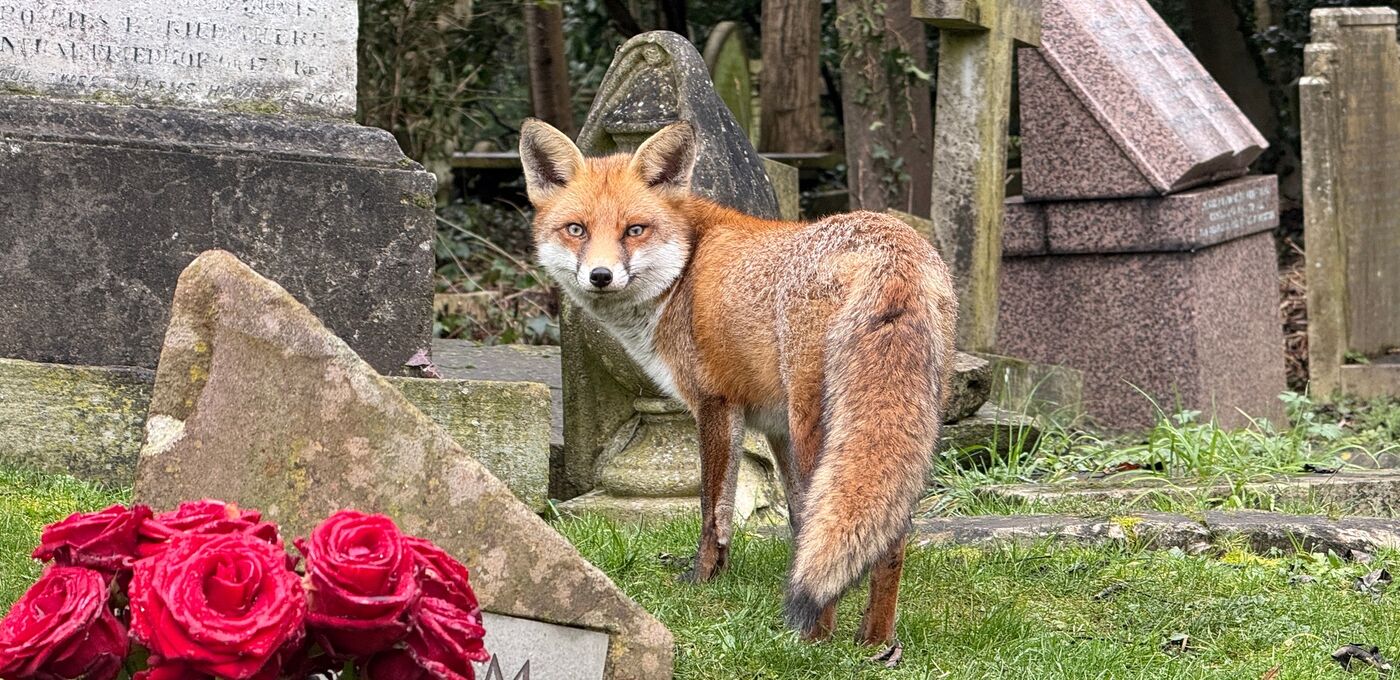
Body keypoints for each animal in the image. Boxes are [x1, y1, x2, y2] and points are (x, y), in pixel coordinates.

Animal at [519, 118, 957, 654]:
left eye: (635, 230)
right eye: (576, 229)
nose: (600, 276)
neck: (684, 273)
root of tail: (893, 248)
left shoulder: (716, 403)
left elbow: (714, 512)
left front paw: (703, 579)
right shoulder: (774, 428)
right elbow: (802, 521)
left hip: (817, 425)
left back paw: (814, 639)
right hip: (889, 426)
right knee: (890, 534)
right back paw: (872, 644)